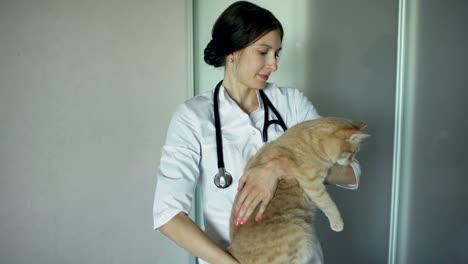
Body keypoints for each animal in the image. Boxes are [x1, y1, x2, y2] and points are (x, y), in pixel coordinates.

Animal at [227, 117, 370, 264]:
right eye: (353, 152)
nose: (352, 161)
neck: (311, 141)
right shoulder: (312, 184)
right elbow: (328, 204)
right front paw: (338, 223)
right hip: (302, 237)